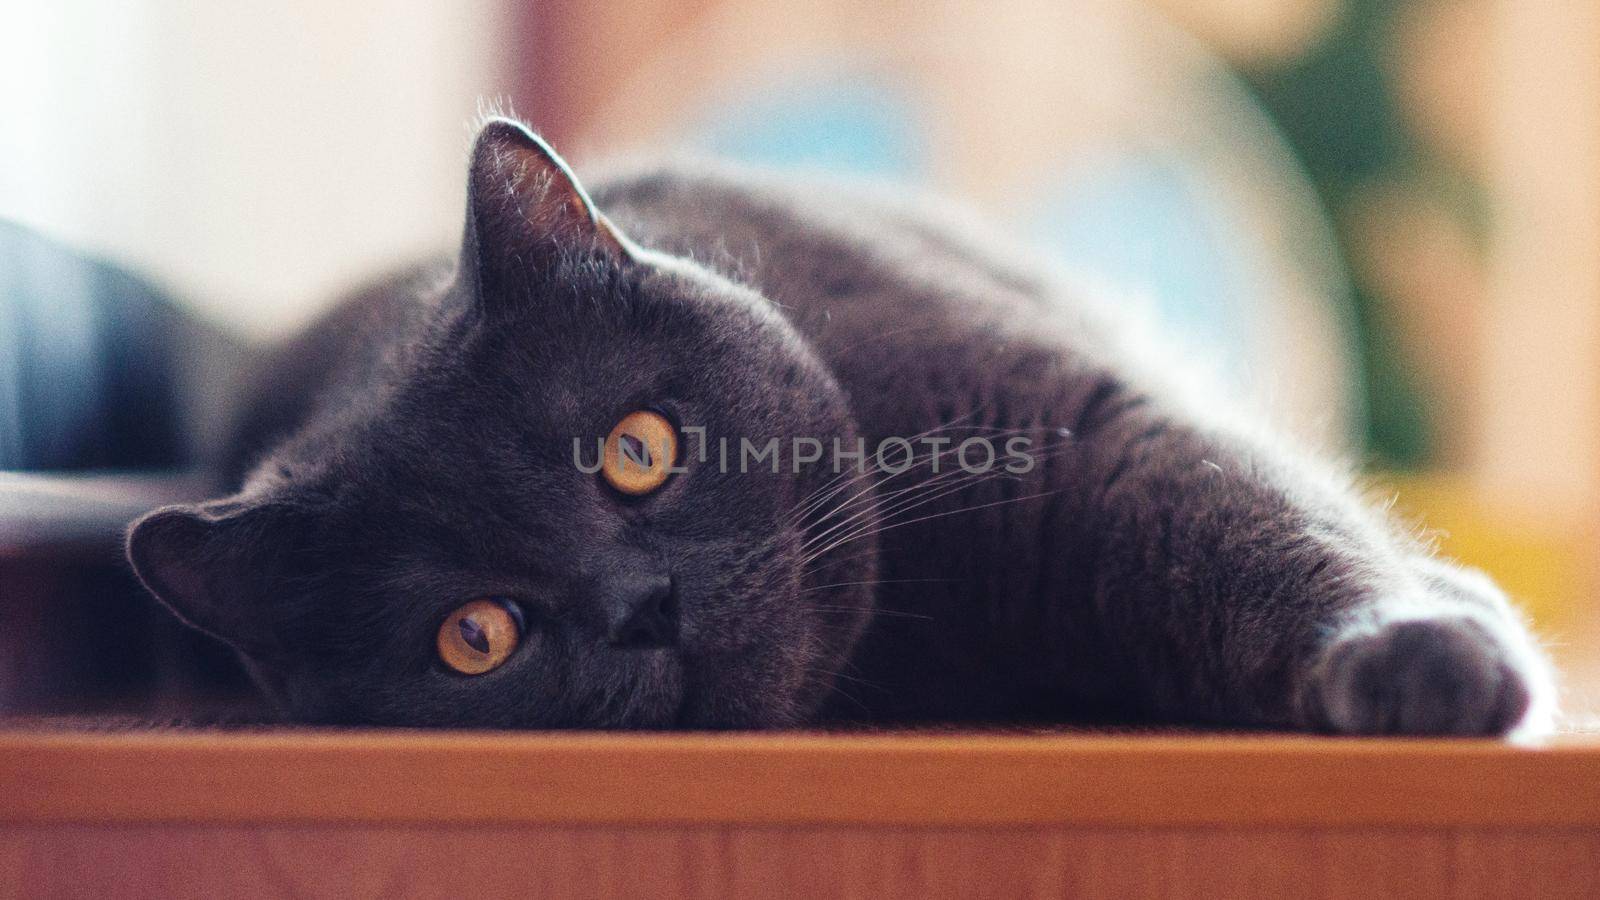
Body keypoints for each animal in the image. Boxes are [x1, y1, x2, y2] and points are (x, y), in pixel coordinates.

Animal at [124, 119, 1548, 733]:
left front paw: (1415, 656)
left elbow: (1253, 524)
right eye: (475, 636)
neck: (930, 629)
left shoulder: (1081, 424)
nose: (642, 607)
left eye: (639, 448)